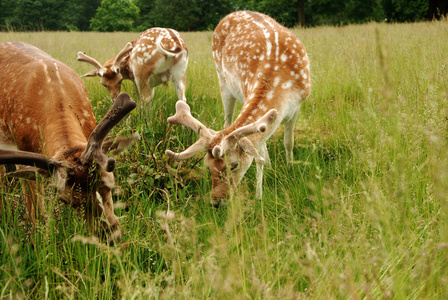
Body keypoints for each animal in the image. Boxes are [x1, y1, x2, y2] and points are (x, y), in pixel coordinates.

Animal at [0, 41, 138, 244]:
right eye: (65, 200)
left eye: (110, 182)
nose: (111, 237)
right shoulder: (21, 144)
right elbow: (34, 208)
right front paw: (39, 236)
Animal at [165, 9, 312, 206]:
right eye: (208, 167)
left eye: (234, 165)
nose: (216, 202)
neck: (282, 84)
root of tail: (234, 12)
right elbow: (261, 144)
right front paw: (268, 171)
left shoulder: (297, 106)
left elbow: (288, 142)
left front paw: (289, 167)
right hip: (223, 79)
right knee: (228, 120)